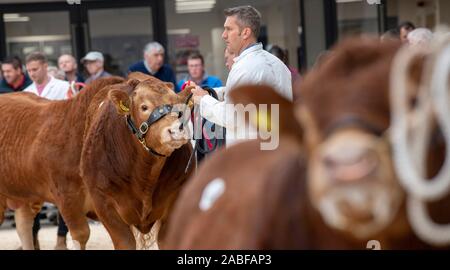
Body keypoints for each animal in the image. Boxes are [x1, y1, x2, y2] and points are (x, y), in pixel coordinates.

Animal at [0, 73, 193, 249]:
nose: (177, 129)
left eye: (180, 106)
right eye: (144, 106)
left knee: (24, 224)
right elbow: (83, 236)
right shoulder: (80, 199)